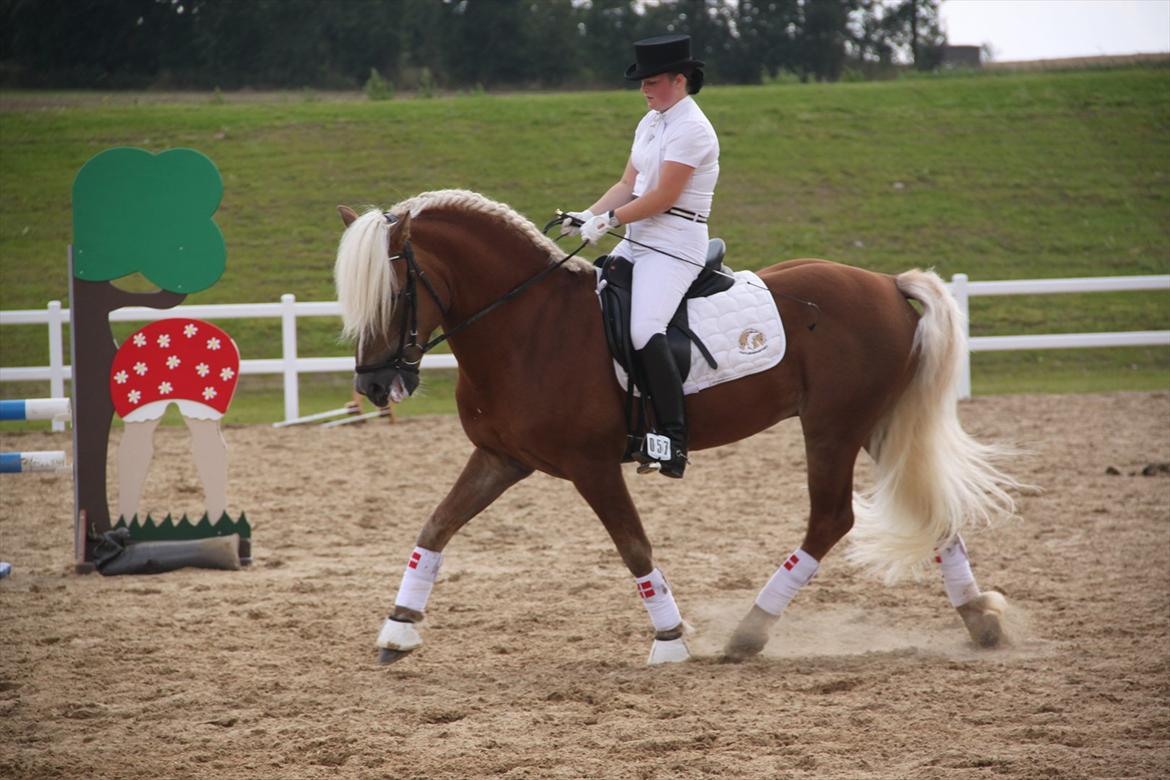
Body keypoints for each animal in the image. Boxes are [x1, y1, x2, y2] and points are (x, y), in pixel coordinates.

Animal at [329, 189, 1015, 664]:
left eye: (393, 293)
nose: (374, 387)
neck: (527, 326)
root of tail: (885, 283)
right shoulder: (502, 458)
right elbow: (436, 526)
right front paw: (397, 629)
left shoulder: (592, 466)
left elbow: (633, 545)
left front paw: (669, 639)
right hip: (875, 426)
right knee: (930, 511)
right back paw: (981, 622)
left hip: (832, 428)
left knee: (831, 520)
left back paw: (749, 632)